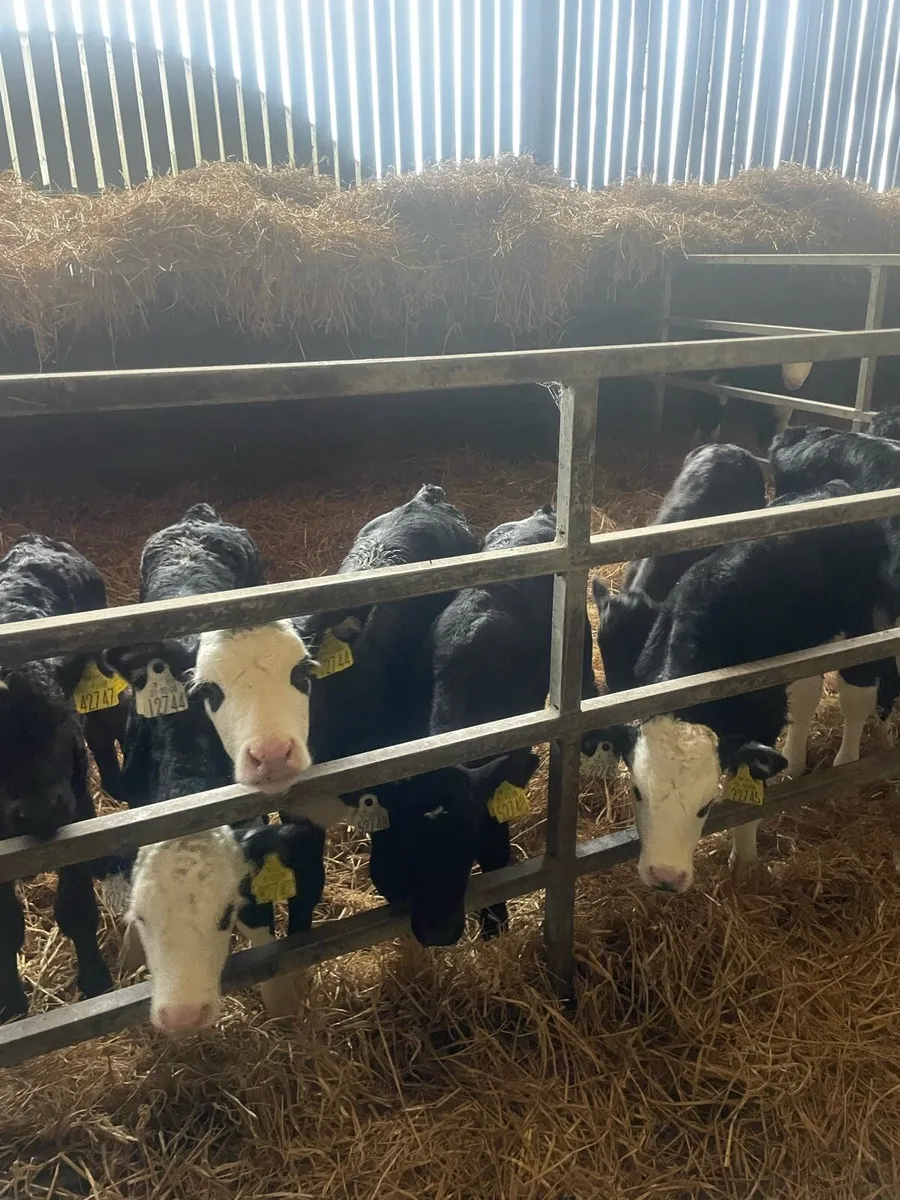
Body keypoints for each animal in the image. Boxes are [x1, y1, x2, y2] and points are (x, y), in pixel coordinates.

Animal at [590, 480, 889, 893]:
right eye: (638, 792)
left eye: (705, 806)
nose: (665, 878)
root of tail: (836, 488)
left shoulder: (758, 719)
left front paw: (745, 864)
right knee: (807, 694)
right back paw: (795, 763)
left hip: (860, 622)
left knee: (855, 695)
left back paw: (847, 761)